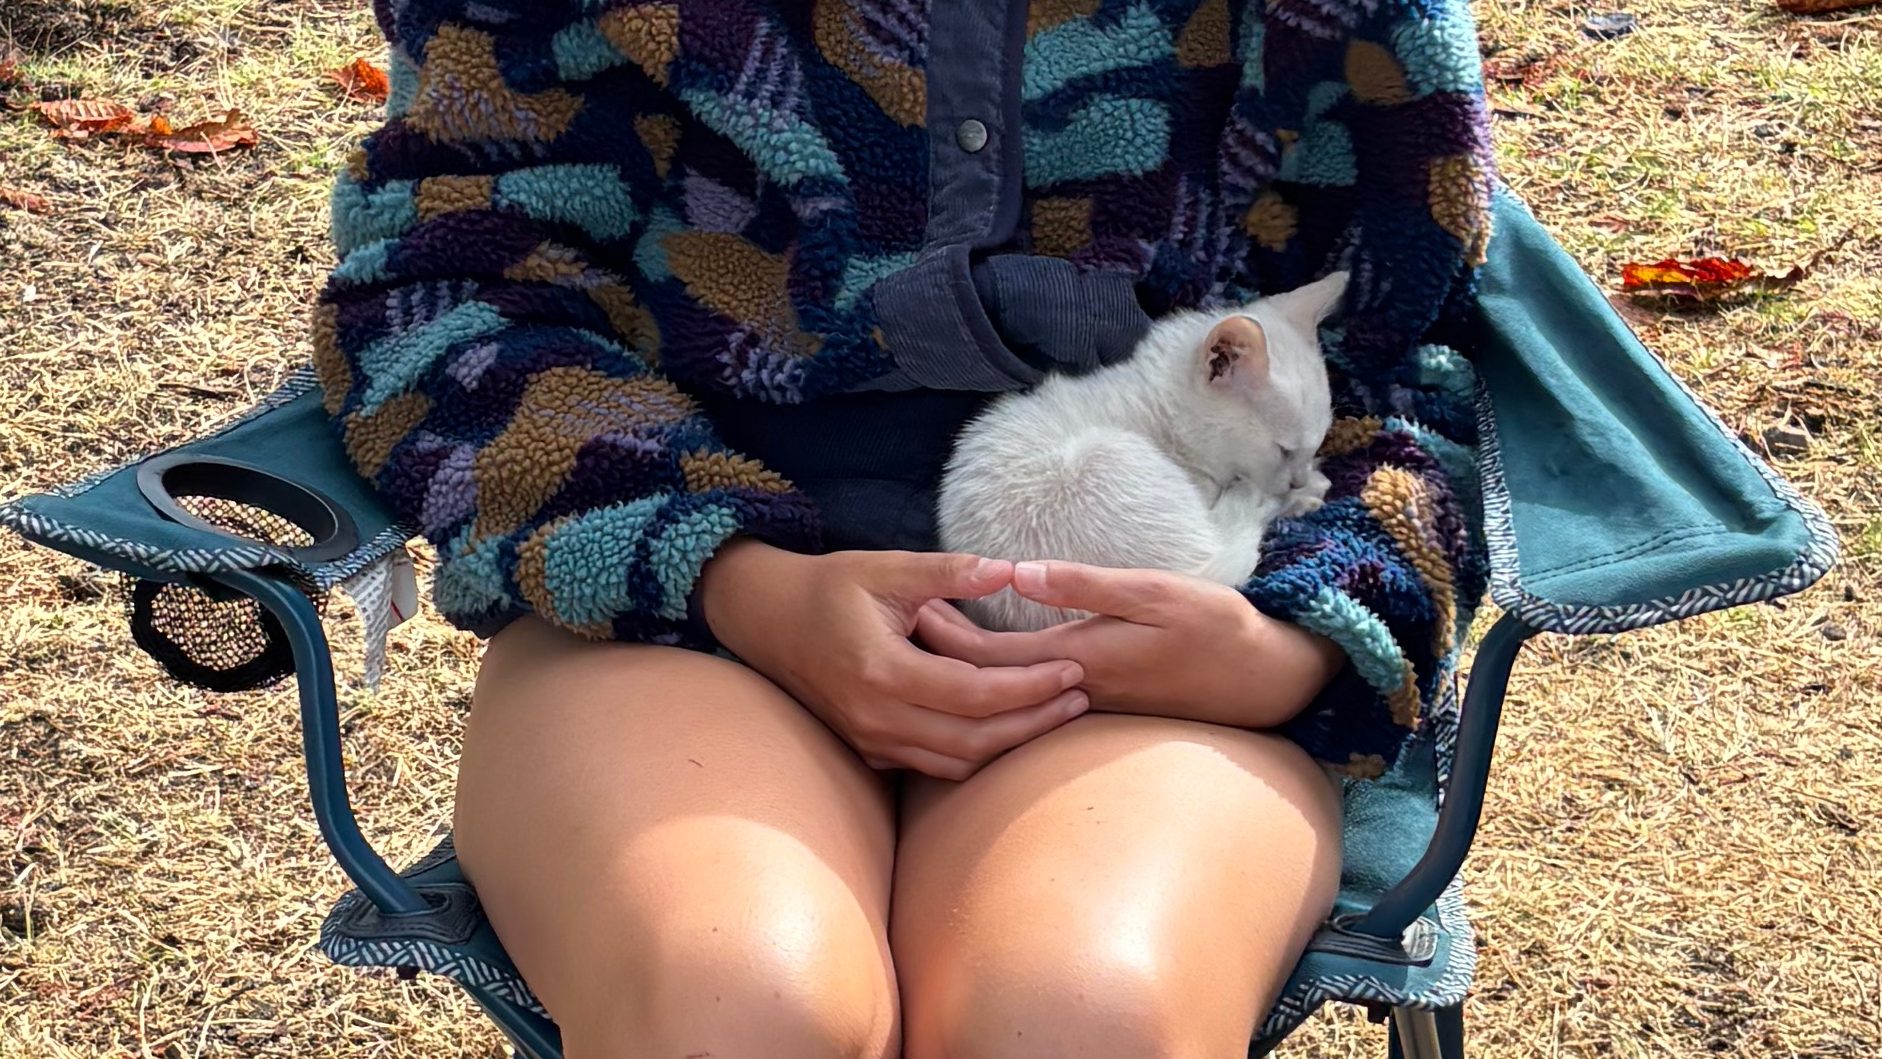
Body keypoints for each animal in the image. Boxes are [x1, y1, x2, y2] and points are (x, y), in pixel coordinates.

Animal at [935, 271, 1348, 633]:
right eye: (1283, 449)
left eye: (1314, 443)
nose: (1296, 480)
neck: (1161, 409)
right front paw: (1301, 490)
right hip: (1106, 457)